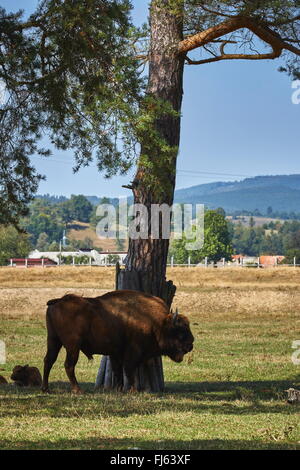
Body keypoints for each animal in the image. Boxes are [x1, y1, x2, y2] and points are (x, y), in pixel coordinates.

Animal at [42, 290, 195, 392]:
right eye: (180, 330)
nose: (191, 345)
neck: (157, 322)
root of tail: (58, 301)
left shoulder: (116, 352)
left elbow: (118, 371)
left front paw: (119, 389)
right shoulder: (132, 351)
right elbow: (129, 370)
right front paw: (132, 390)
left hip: (53, 340)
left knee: (49, 360)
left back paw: (46, 388)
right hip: (73, 345)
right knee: (69, 365)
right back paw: (77, 390)